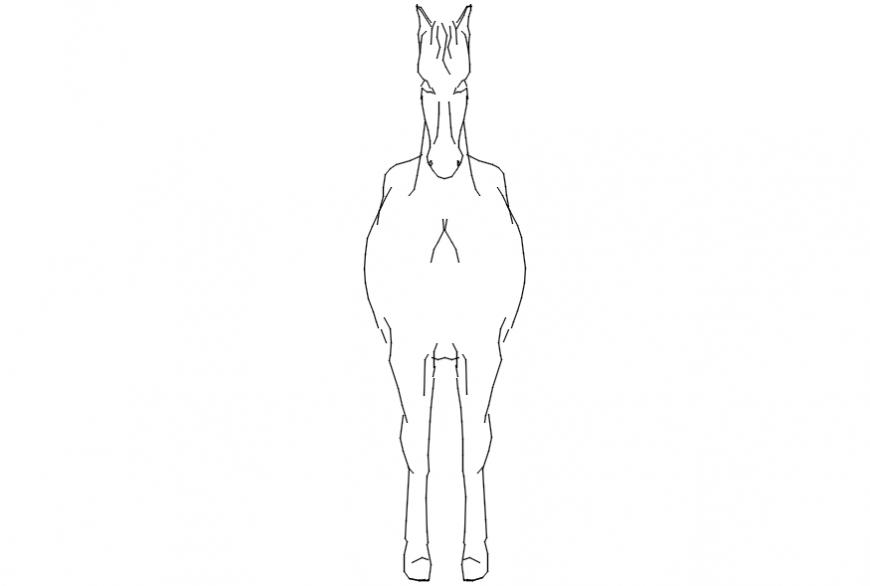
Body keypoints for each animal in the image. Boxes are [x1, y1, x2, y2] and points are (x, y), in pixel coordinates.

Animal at [363, 5, 526, 581]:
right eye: (423, 84)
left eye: (464, 84)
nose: (445, 164)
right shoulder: (405, 347)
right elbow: (417, 444)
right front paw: (417, 557)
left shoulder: (484, 347)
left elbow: (474, 443)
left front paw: (474, 557)